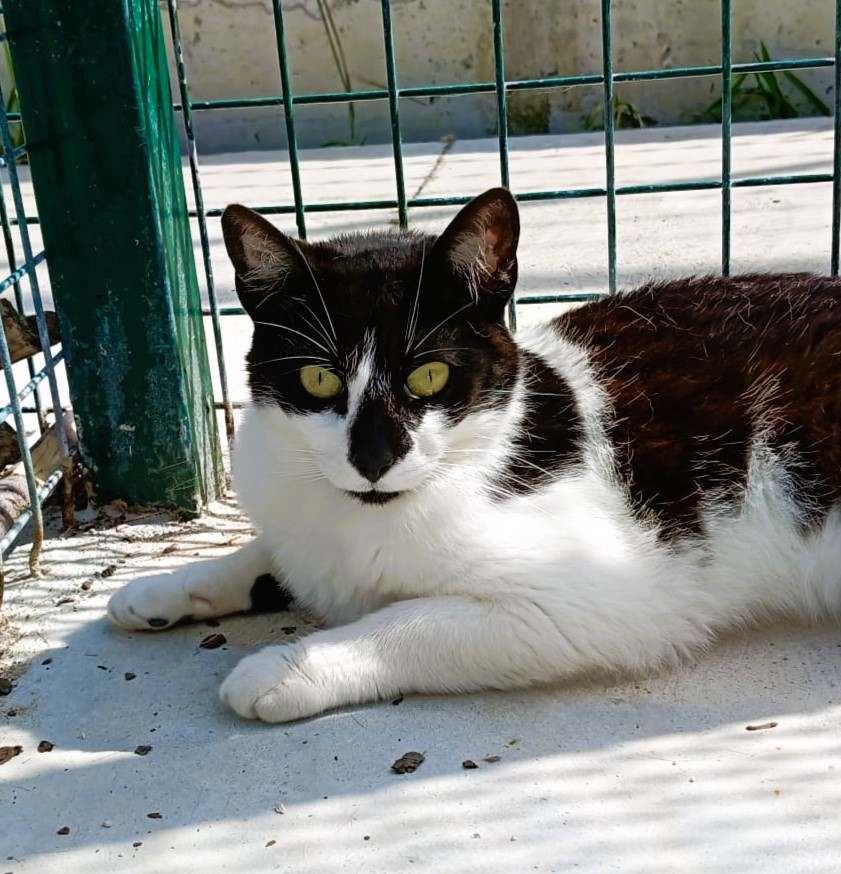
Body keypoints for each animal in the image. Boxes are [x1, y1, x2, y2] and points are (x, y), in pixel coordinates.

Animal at [108, 187, 841, 723]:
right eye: (317, 379)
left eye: (429, 375)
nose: (373, 458)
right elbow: (272, 559)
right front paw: (162, 589)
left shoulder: (601, 597)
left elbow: (410, 622)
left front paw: (284, 668)